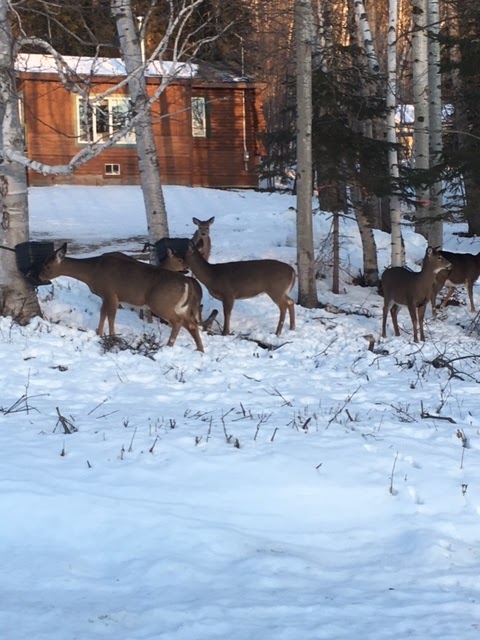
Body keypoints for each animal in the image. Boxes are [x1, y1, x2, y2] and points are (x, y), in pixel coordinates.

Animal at [37, 242, 202, 350]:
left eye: (47, 266)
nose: (40, 276)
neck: (93, 271)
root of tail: (187, 283)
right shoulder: (105, 296)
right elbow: (103, 314)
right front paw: (99, 334)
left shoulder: (111, 293)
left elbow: (111, 316)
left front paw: (112, 337)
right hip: (180, 307)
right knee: (192, 324)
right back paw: (200, 350)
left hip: (161, 302)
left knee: (178, 322)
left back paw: (168, 346)